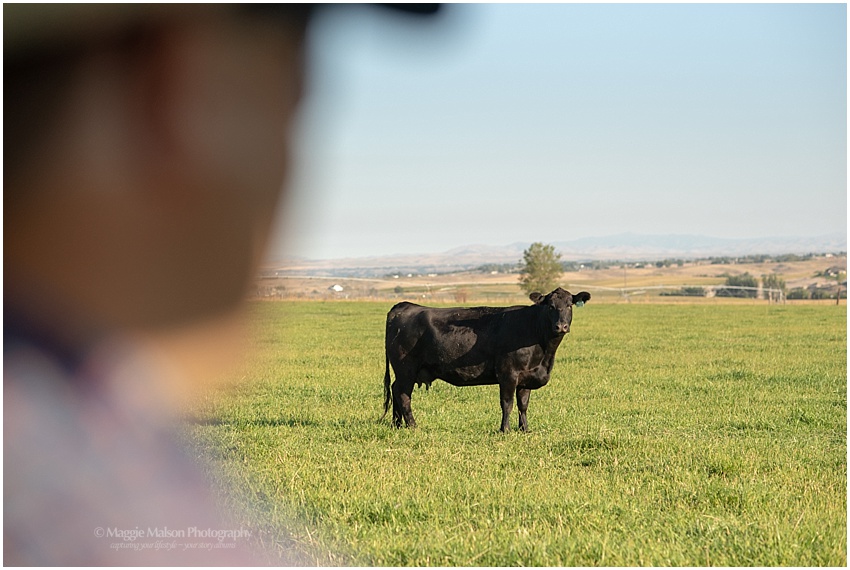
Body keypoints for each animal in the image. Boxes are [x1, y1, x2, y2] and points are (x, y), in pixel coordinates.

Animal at [381, 287, 591, 432]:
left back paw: (397, 424)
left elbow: (523, 404)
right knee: (402, 394)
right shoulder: (507, 374)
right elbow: (507, 403)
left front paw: (525, 429)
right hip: (406, 370)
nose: (561, 326)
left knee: (395, 390)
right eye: (550, 306)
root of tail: (404, 306)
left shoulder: (526, 377)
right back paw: (412, 425)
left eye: (569, 305)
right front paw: (505, 429)